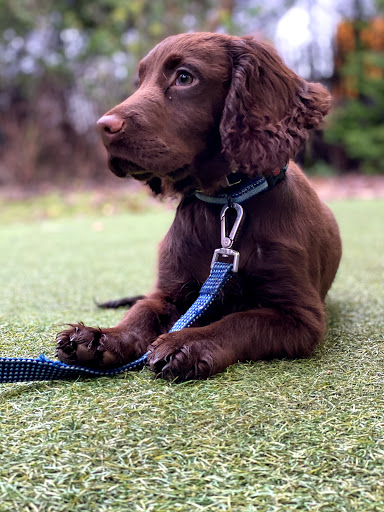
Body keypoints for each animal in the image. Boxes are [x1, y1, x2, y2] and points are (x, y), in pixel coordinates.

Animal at [56, 32, 342, 380]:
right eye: (140, 81)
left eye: (184, 78)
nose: (103, 128)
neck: (226, 204)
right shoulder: (171, 291)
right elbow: (142, 309)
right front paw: (102, 340)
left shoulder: (300, 315)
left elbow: (243, 320)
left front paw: (187, 343)